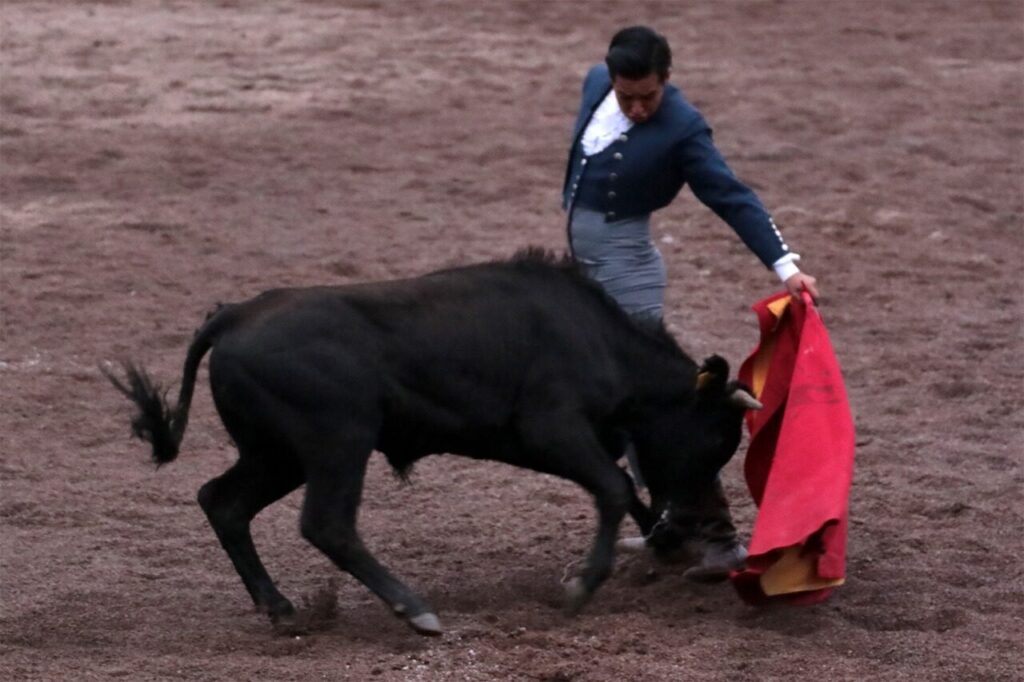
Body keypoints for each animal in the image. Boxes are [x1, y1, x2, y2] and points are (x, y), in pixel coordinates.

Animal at [105, 251, 761, 634]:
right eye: (714, 438)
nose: (688, 525)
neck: (594, 337)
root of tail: (235, 314)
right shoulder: (552, 430)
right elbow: (615, 485)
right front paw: (580, 586)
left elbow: (622, 486)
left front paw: (655, 544)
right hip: (337, 444)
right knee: (326, 524)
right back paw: (413, 608)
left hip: (278, 456)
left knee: (224, 502)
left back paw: (281, 608)